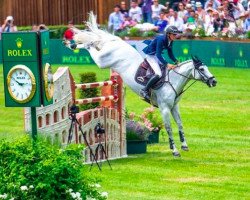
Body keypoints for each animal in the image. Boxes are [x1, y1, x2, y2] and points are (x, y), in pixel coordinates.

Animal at [65, 12, 217, 156]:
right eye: (202, 69)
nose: (214, 81)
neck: (173, 81)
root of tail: (116, 41)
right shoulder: (164, 108)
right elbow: (168, 128)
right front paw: (174, 150)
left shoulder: (174, 107)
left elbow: (180, 124)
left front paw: (184, 145)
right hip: (102, 61)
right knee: (91, 46)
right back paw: (73, 44)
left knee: (95, 43)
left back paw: (73, 44)